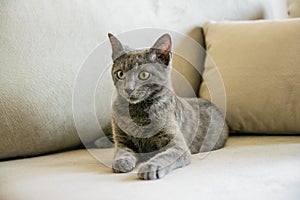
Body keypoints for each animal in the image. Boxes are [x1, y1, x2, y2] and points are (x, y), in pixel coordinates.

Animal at [108, 32, 227, 180]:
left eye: (144, 75)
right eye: (120, 74)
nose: (128, 89)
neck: (138, 111)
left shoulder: (178, 146)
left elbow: (165, 156)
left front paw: (150, 167)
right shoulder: (121, 140)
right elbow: (121, 151)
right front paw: (121, 161)